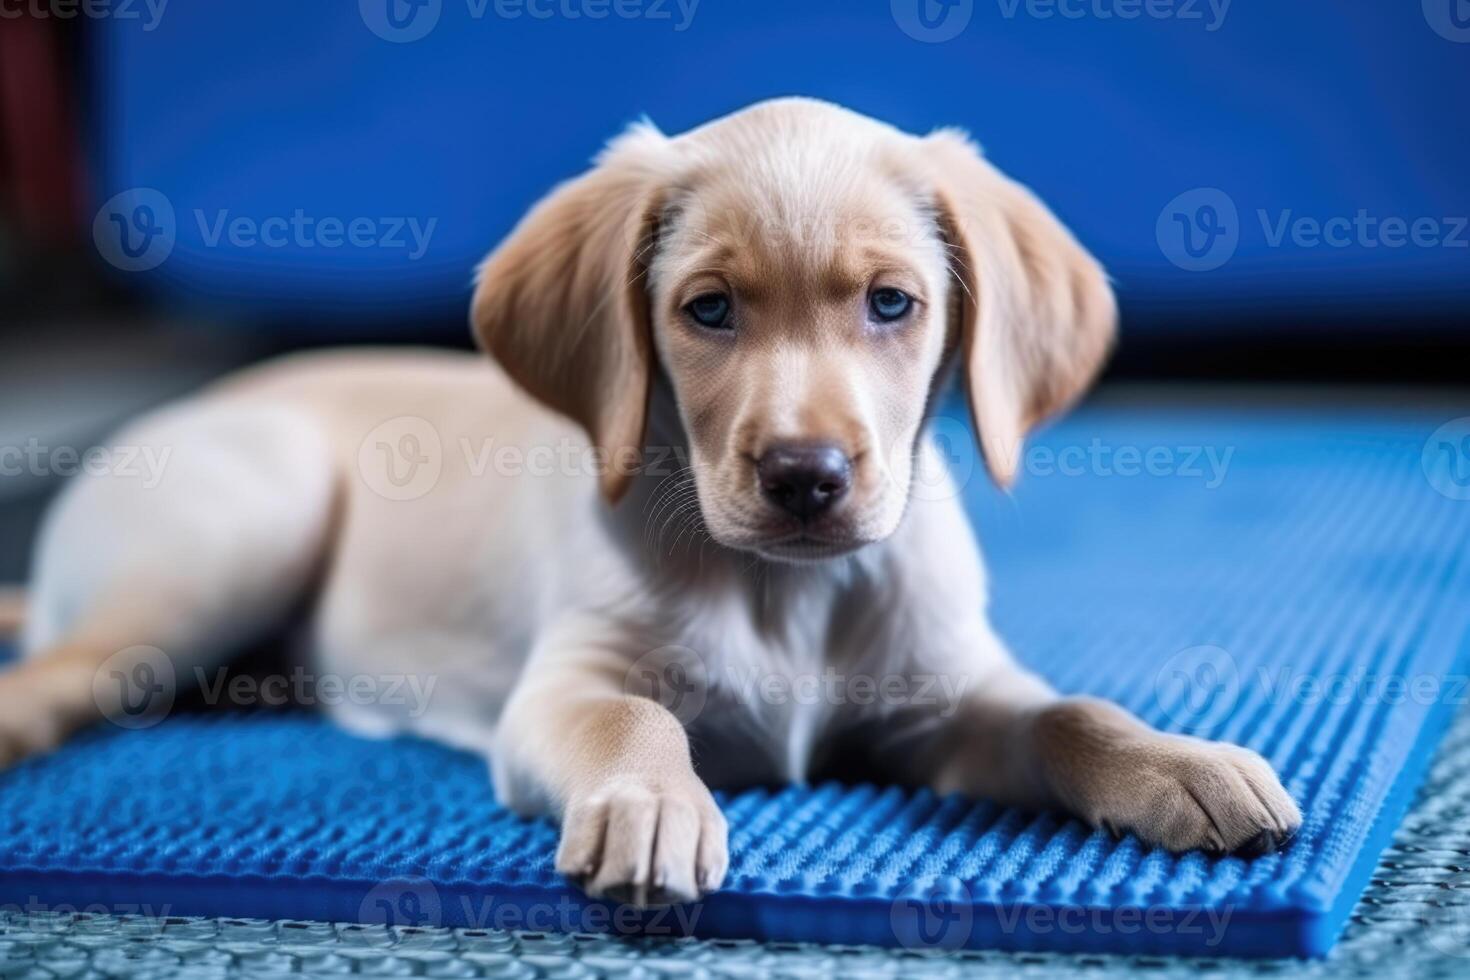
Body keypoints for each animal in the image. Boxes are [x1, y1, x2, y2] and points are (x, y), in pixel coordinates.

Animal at [0, 99, 1293, 910]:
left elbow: (1070, 710)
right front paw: (654, 806)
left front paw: (1178, 761)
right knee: (65, 669)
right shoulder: (560, 687)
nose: (807, 475)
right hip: (242, 529)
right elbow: (637, 717)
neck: (788, 593)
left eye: (891, 303)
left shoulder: (954, 695)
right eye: (709, 309)